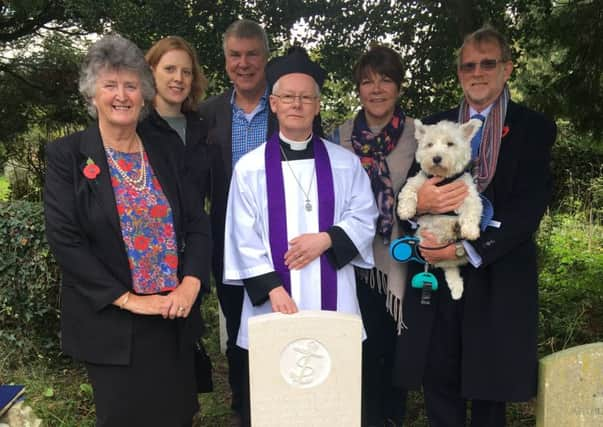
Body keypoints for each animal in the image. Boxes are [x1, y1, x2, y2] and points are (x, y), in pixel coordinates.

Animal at [398, 117, 484, 298]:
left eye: (450, 144)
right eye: (429, 144)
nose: (436, 158)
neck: (443, 180)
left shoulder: (469, 194)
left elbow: (472, 210)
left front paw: (470, 231)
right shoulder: (418, 182)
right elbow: (408, 192)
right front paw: (406, 211)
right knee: (450, 269)